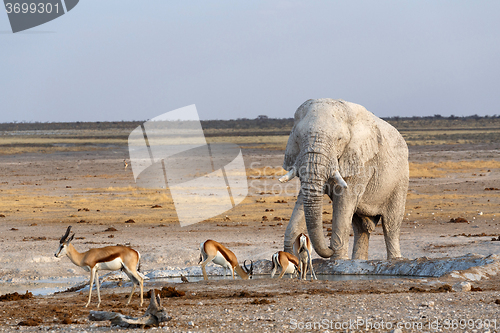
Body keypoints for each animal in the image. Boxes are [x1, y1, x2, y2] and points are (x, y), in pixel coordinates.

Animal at [280, 98, 408, 260]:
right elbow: (303, 198)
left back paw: (395, 259)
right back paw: (358, 261)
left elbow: (345, 199)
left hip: (400, 179)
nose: (328, 248)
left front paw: (338, 259)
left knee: (391, 224)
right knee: (360, 228)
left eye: (339, 139)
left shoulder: (362, 161)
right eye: (297, 137)